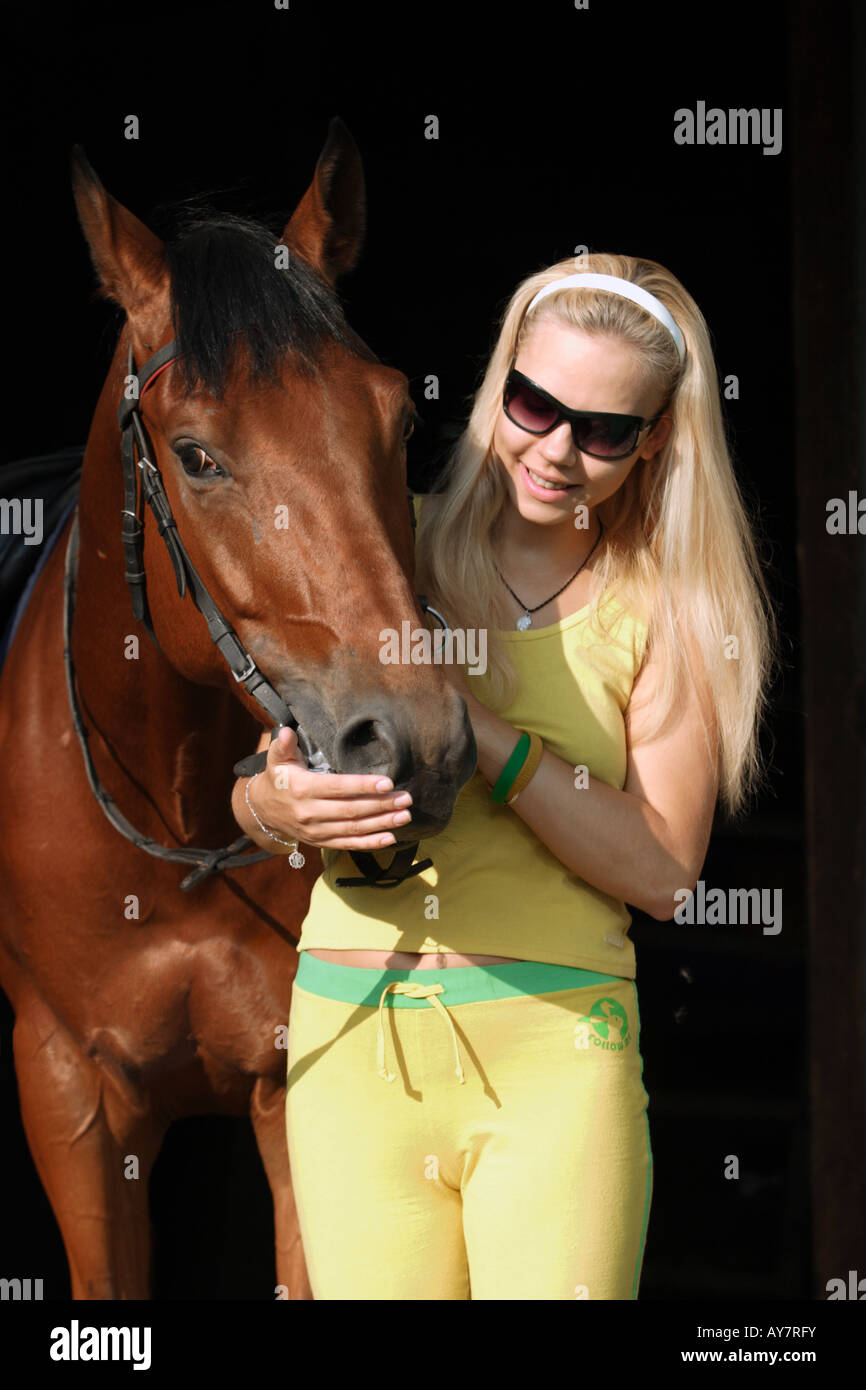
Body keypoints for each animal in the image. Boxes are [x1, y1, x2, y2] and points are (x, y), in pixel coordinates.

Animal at [0, 119, 475, 1301]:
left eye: (399, 418)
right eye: (197, 455)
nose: (411, 739)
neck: (168, 822)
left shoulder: (298, 1084)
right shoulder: (72, 1095)